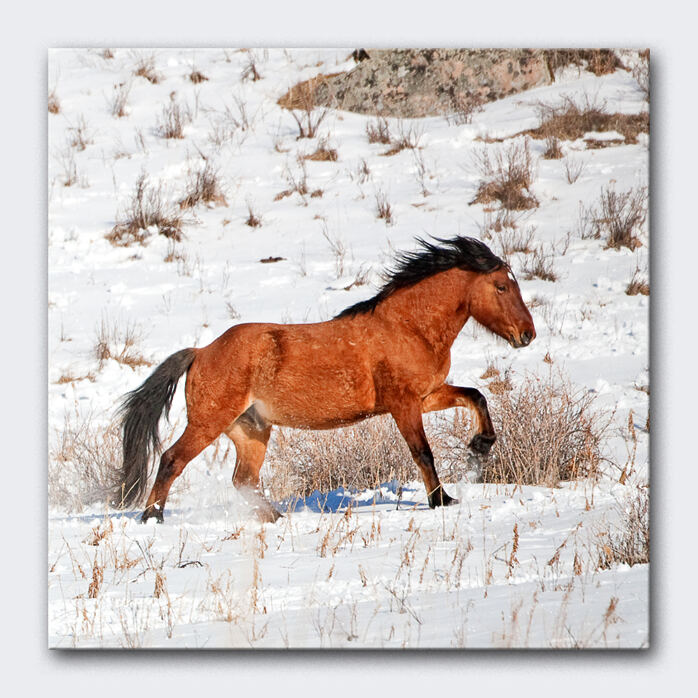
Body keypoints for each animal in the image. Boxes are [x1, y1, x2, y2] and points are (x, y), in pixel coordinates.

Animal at [116, 236, 536, 523]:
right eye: (501, 286)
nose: (527, 335)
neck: (408, 327)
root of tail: (201, 352)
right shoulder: (403, 404)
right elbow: (422, 452)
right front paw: (441, 500)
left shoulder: (427, 395)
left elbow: (476, 395)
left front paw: (479, 447)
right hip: (209, 422)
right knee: (172, 460)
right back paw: (152, 517)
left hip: (251, 429)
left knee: (244, 479)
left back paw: (276, 519)